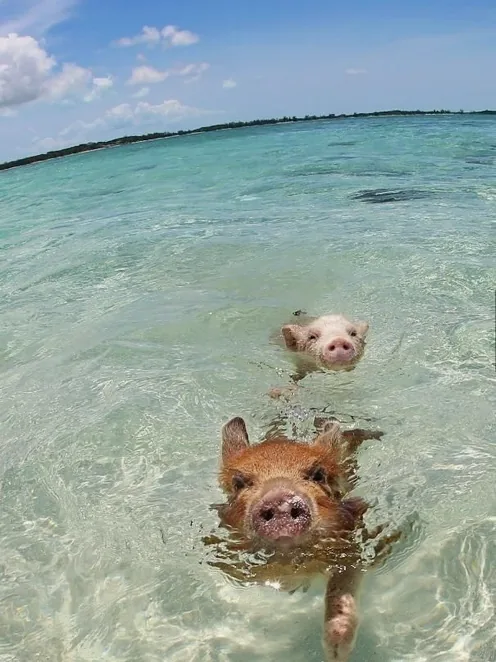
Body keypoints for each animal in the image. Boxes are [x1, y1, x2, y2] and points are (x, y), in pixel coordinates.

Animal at [204, 417, 398, 662]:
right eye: (239, 482)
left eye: (318, 475)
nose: (279, 499)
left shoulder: (355, 548)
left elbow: (342, 588)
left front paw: (336, 653)